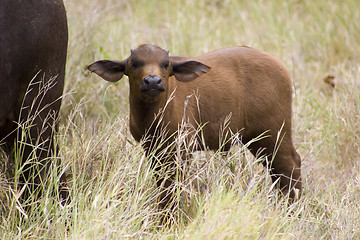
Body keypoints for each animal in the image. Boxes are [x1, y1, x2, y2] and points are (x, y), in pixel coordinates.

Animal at [88, 43, 302, 212]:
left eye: (166, 63)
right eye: (134, 63)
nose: (152, 81)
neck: (154, 117)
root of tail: (281, 67)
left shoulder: (181, 150)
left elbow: (172, 186)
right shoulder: (153, 149)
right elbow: (162, 184)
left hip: (273, 131)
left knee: (288, 166)